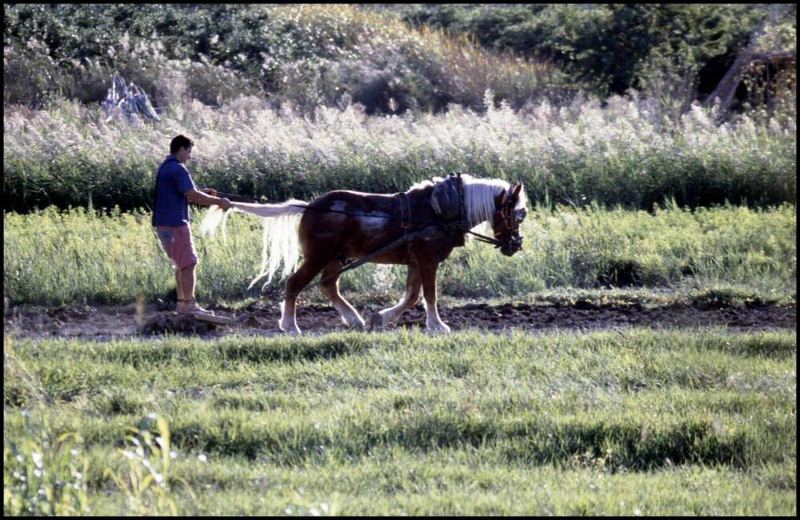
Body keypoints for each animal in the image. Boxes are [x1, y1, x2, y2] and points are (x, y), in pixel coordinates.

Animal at [199, 173, 524, 336]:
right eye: (518, 214)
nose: (516, 245)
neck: (440, 209)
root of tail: (310, 206)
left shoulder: (416, 261)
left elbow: (411, 296)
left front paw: (380, 318)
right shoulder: (428, 260)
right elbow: (429, 295)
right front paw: (438, 325)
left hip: (335, 258)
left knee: (328, 285)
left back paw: (354, 319)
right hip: (318, 257)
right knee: (294, 285)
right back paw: (290, 325)